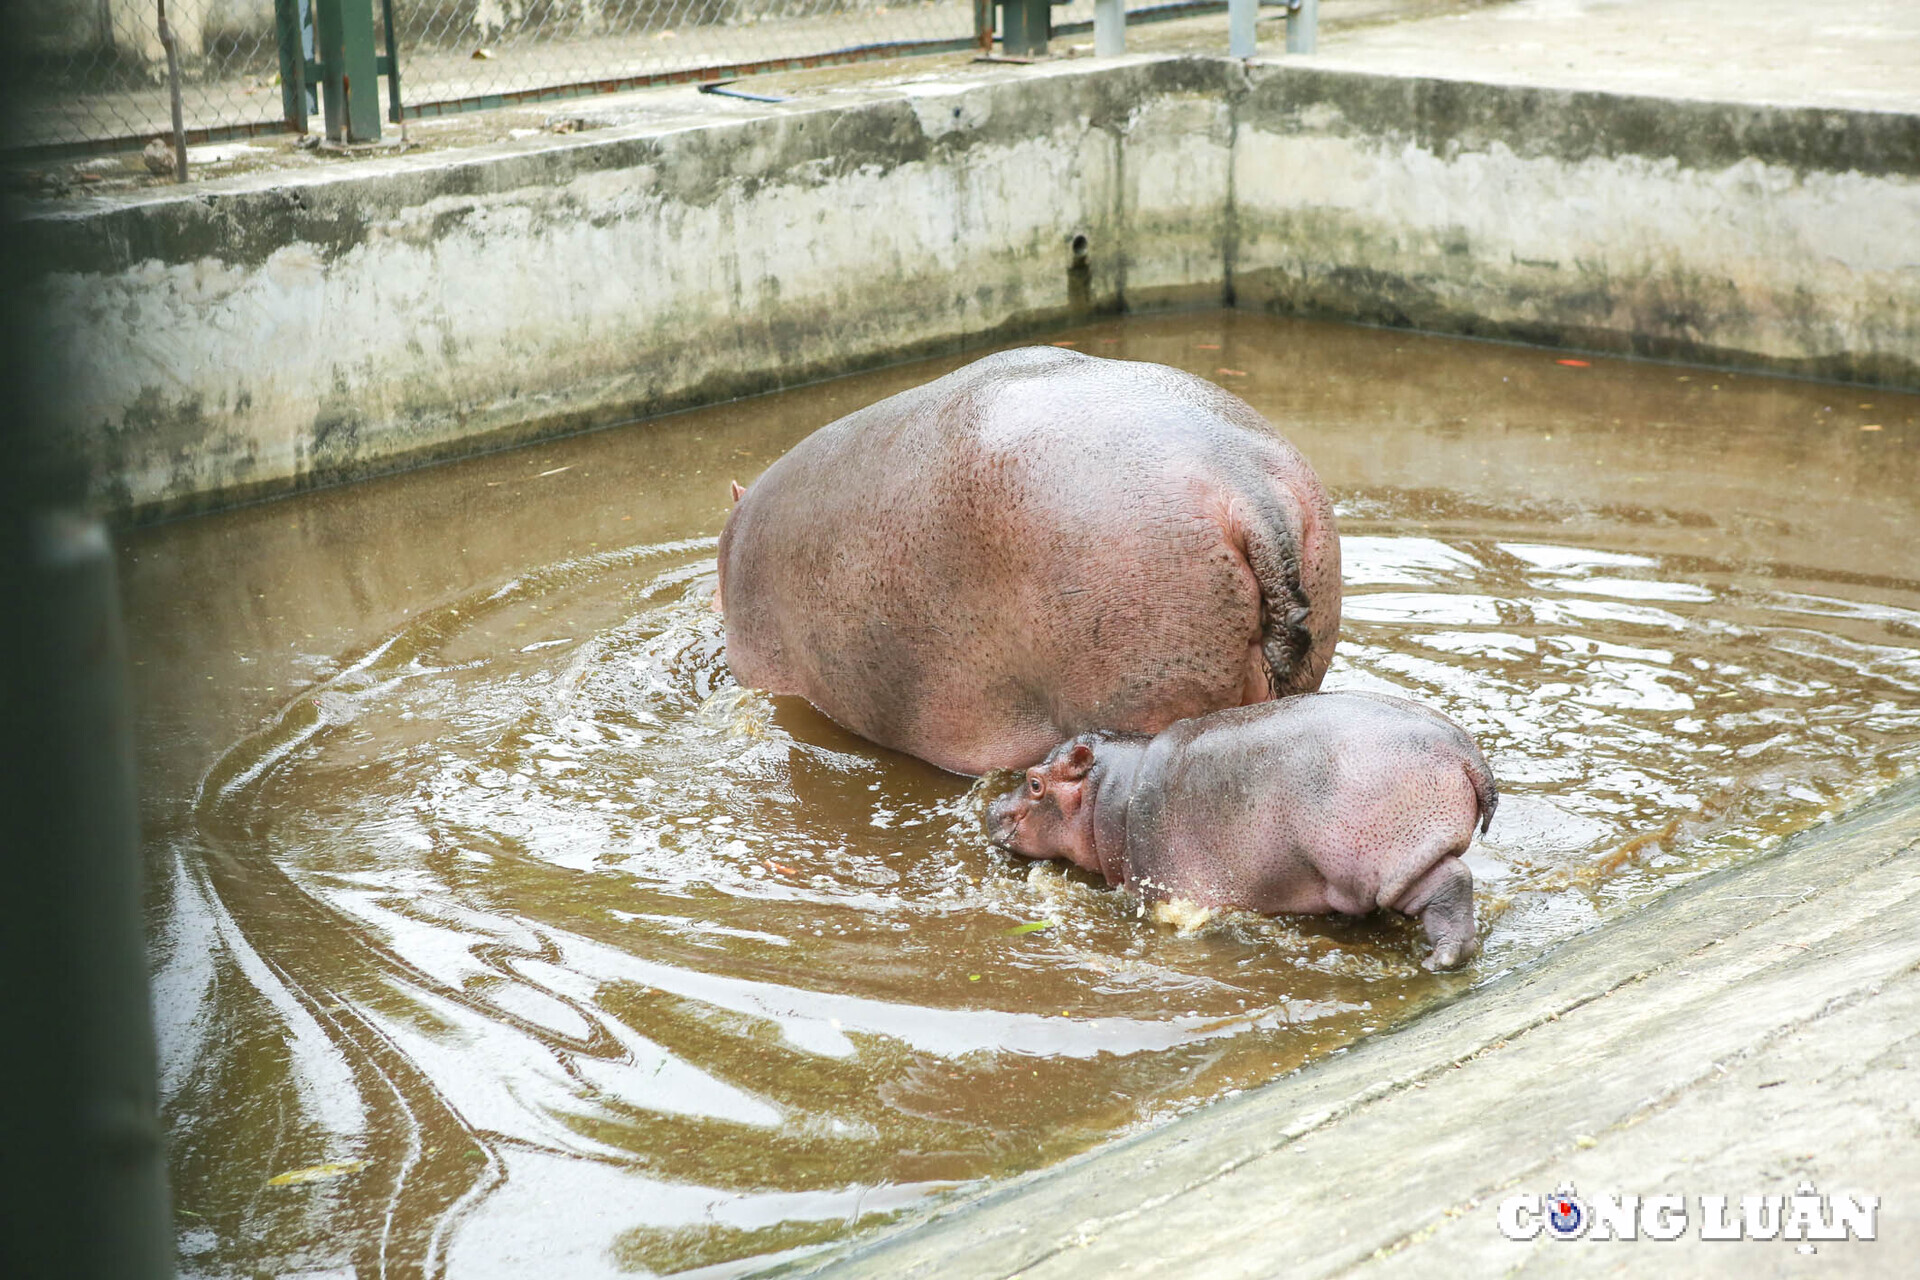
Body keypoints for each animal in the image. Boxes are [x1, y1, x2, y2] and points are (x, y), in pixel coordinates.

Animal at [990, 694, 1497, 967]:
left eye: (1034, 783)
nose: (993, 808)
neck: (1112, 789)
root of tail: (1466, 751)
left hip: (1383, 860)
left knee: (1450, 883)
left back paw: (1441, 959)